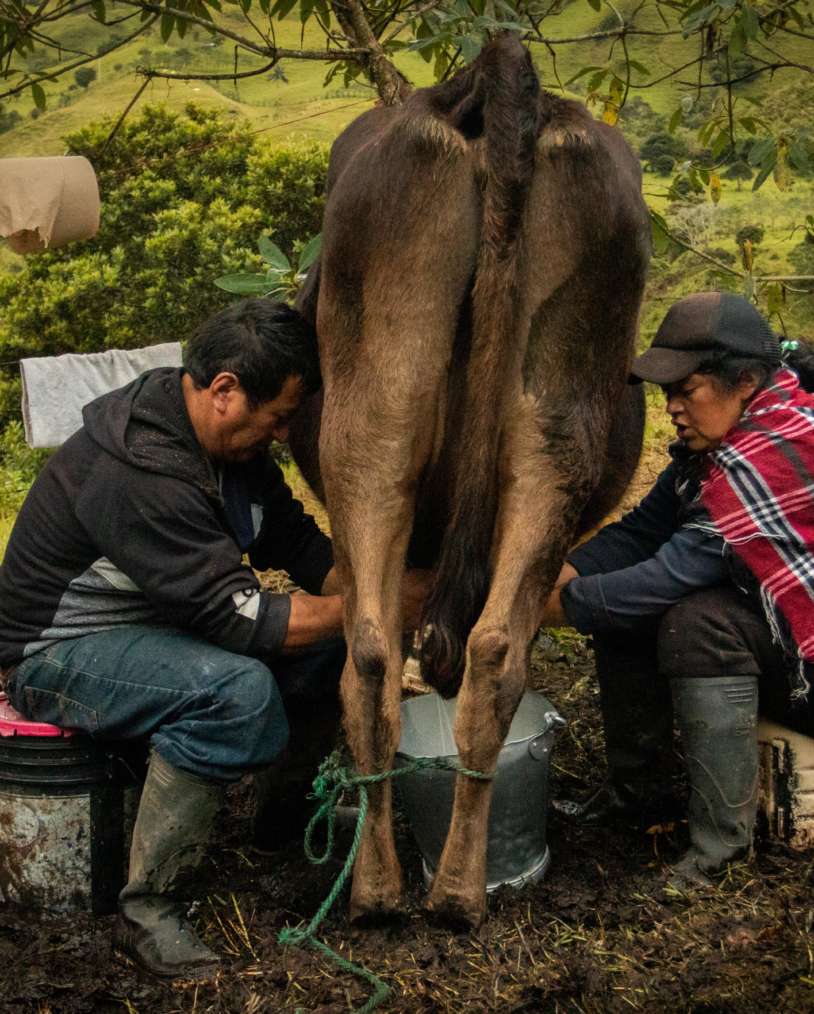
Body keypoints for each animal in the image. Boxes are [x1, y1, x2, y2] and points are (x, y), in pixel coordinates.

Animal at [289, 33, 651, 928]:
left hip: (382, 426)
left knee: (379, 658)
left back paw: (396, 891)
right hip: (539, 423)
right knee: (469, 655)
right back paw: (446, 892)